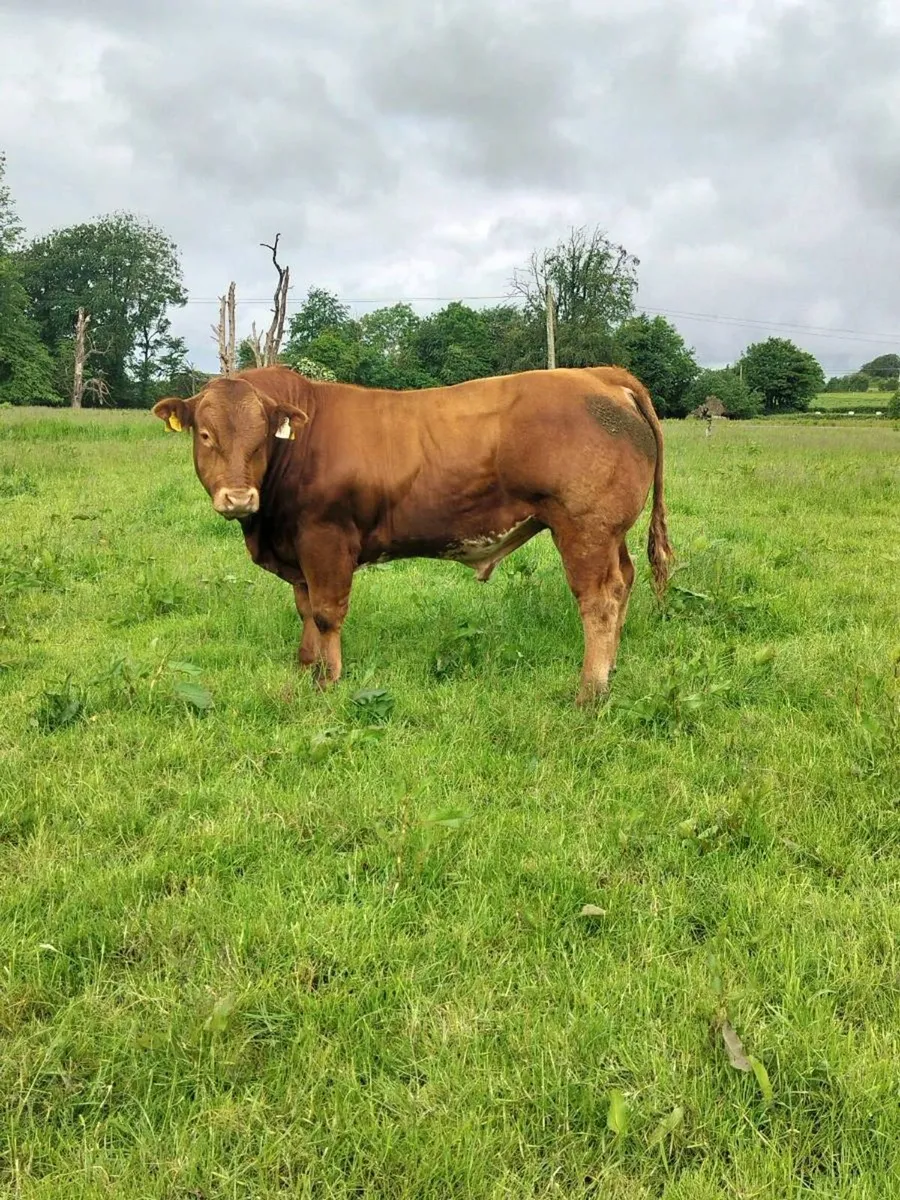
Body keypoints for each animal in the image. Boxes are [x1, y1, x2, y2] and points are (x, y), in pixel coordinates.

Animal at [152, 364, 673, 705]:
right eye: (205, 435)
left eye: (260, 438)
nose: (239, 498)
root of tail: (598, 375)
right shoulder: (297, 550)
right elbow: (304, 610)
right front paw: (305, 668)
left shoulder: (326, 539)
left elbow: (325, 613)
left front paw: (328, 681)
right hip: (610, 534)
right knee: (624, 582)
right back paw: (611, 668)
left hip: (584, 528)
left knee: (599, 600)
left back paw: (590, 691)